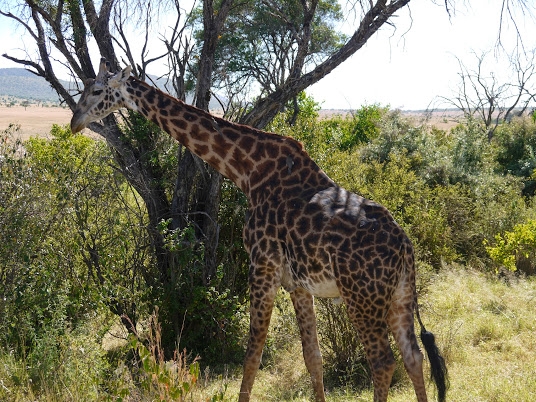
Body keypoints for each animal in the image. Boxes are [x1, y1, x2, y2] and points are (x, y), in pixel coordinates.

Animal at [71, 59, 448, 402]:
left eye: (96, 91)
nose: (75, 122)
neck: (247, 172)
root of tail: (406, 248)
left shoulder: (262, 266)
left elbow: (252, 355)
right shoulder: (298, 283)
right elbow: (313, 358)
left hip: (362, 298)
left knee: (383, 362)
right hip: (399, 296)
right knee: (413, 357)